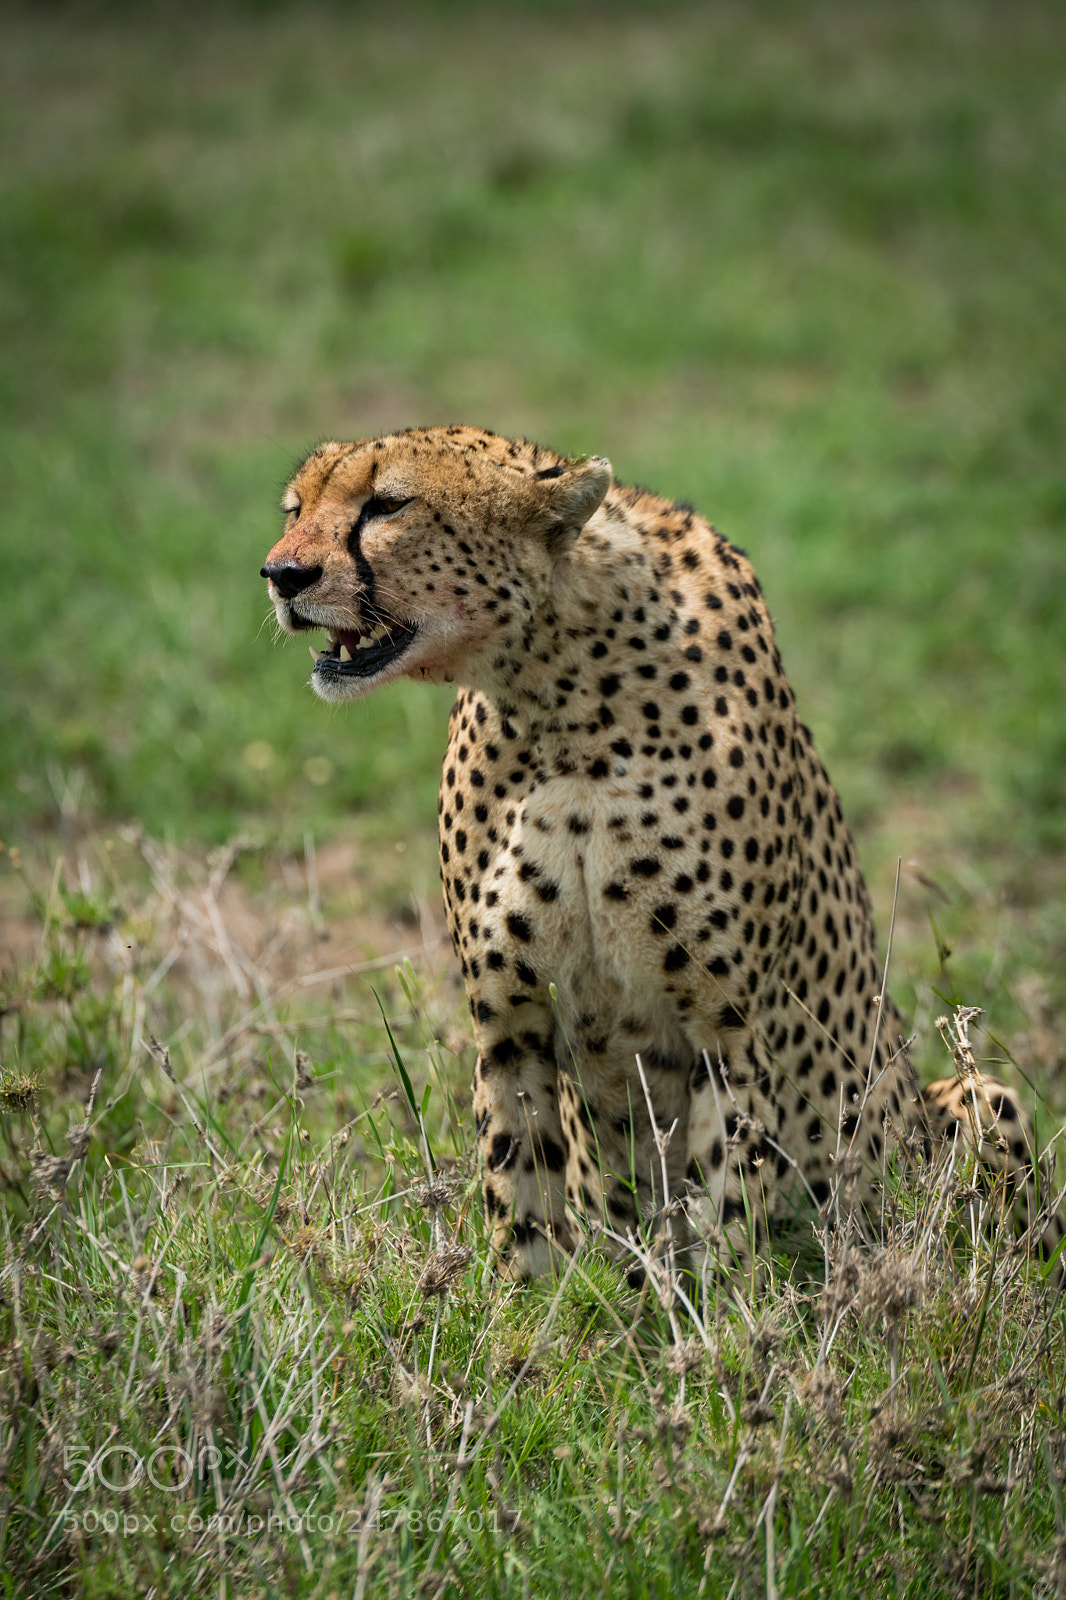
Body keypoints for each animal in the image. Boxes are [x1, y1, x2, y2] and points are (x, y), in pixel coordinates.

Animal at [262, 425, 1061, 1284]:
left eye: (388, 504)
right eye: (296, 509)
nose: (281, 575)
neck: (556, 695)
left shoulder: (728, 1028)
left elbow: (727, 1212)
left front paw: (721, 1312)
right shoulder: (510, 1019)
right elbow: (523, 1197)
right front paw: (527, 1311)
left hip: (971, 1101)